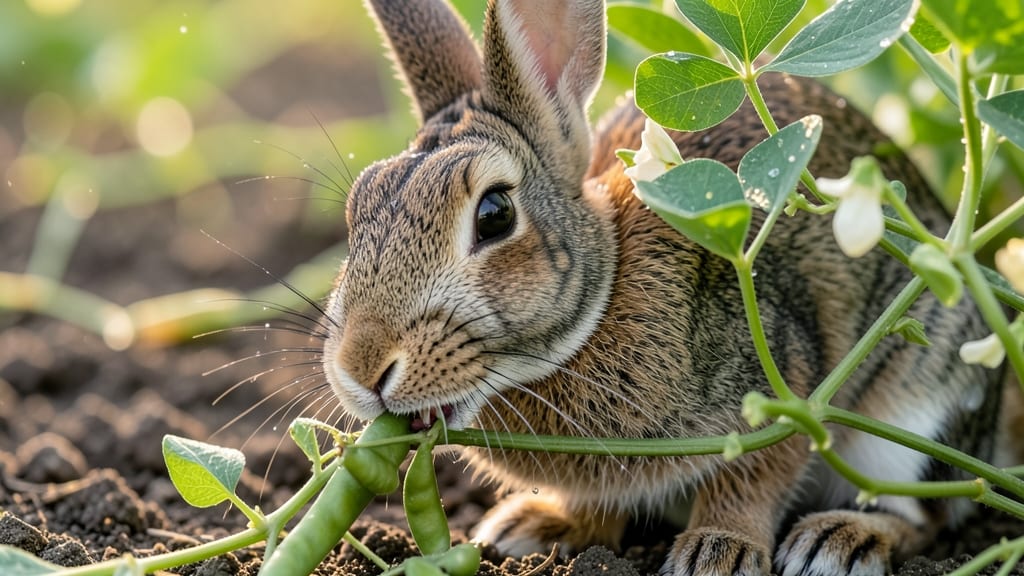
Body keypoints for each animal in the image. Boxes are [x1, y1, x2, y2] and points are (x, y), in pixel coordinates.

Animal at [321, 0, 1006, 574]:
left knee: (929, 508)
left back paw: (840, 540)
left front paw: (719, 551)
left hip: (914, 406)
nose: (360, 369)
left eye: (494, 214)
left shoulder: (779, 380)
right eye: (356, 211)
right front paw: (546, 526)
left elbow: (753, 476)